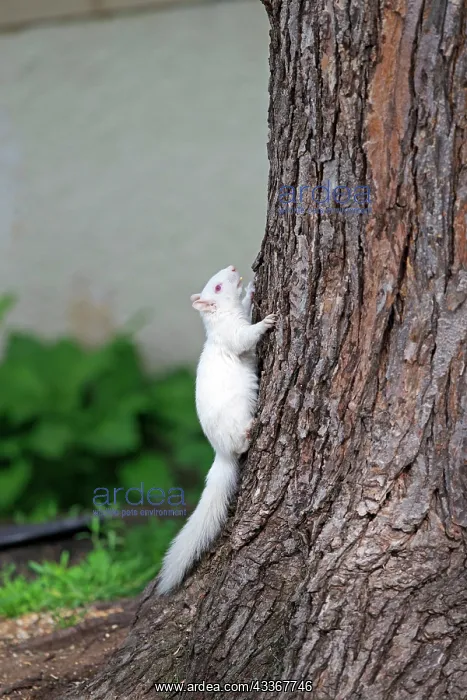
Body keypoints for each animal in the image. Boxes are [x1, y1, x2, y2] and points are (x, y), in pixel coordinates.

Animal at [156, 265, 277, 595]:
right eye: (218, 288)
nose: (234, 268)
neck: (223, 314)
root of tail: (220, 453)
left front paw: (252, 287)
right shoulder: (230, 335)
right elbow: (244, 338)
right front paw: (266, 322)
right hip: (236, 426)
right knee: (241, 446)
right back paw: (249, 433)